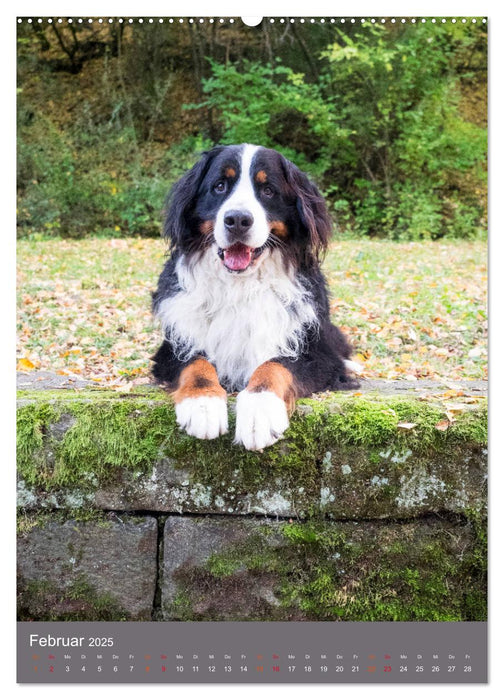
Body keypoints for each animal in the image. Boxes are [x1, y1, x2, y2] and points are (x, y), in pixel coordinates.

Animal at [152, 143, 360, 452]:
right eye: (220, 186)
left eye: (268, 190)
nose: (237, 220)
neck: (240, 286)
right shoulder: (173, 346)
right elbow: (196, 364)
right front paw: (203, 406)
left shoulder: (316, 353)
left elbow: (274, 366)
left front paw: (259, 413)